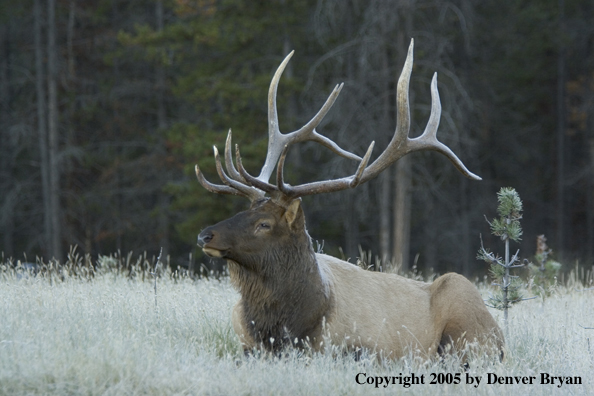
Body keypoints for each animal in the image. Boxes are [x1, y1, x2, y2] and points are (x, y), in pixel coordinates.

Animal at [197, 41, 502, 362]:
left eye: (264, 224)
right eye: (246, 210)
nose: (205, 235)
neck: (287, 324)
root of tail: (502, 339)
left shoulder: (363, 345)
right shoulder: (245, 344)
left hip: (465, 311)